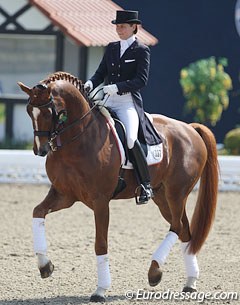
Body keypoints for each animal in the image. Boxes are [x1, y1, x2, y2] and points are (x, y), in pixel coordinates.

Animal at [17, 72, 218, 302]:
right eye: (28, 110)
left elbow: (100, 243)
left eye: (49, 111)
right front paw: (45, 266)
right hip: (162, 197)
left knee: (176, 226)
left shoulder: (100, 201)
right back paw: (190, 282)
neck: (78, 138)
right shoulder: (64, 195)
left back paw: (154, 272)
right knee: (184, 229)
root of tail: (190, 128)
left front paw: (101, 290)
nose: (40, 150)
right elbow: (37, 212)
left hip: (176, 193)